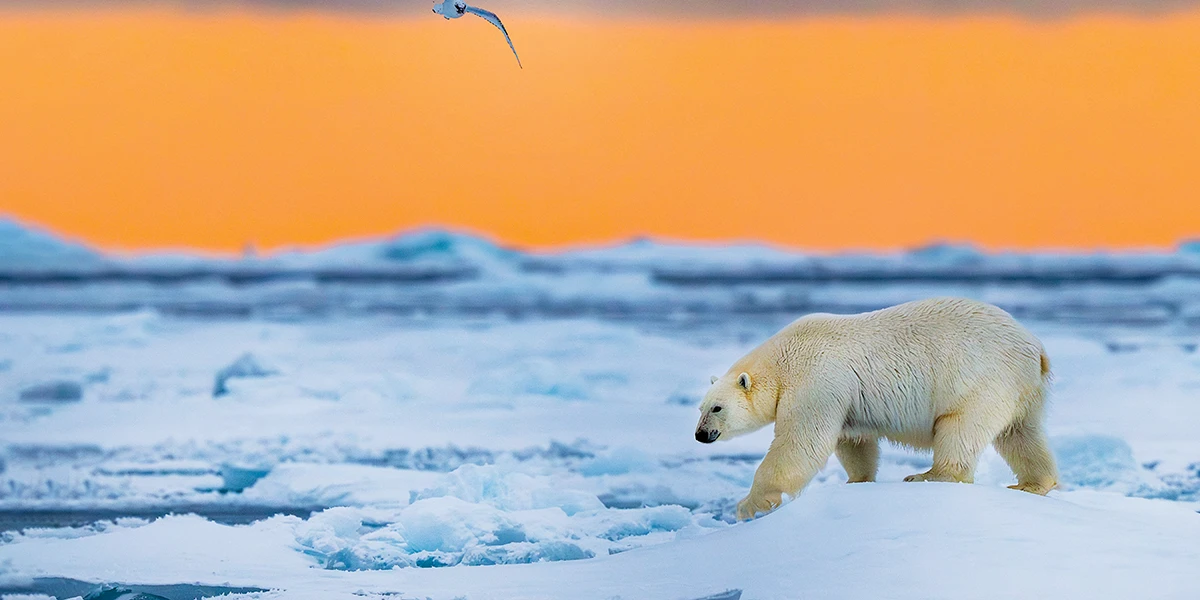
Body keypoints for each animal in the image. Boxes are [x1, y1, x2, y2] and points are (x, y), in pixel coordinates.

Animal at [694, 297, 1059, 521]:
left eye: (717, 408)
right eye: (700, 407)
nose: (700, 435)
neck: (783, 358)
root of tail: (1035, 347)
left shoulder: (816, 379)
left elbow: (800, 442)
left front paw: (749, 505)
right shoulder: (843, 395)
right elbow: (853, 441)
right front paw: (856, 480)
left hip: (981, 377)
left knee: (960, 426)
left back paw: (927, 475)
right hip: (1022, 386)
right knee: (1021, 433)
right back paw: (1032, 484)